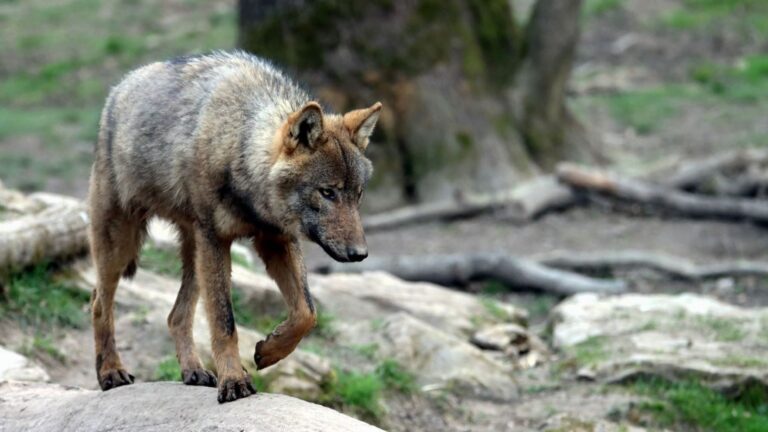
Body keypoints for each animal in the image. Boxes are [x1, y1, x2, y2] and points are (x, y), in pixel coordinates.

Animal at [88, 51, 381, 403]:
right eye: (327, 192)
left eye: (357, 195)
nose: (360, 254)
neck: (239, 144)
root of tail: (119, 88)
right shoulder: (217, 240)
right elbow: (224, 322)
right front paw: (234, 380)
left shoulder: (275, 239)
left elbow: (306, 313)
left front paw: (268, 351)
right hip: (125, 244)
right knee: (99, 304)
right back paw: (110, 372)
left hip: (194, 255)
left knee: (176, 316)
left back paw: (193, 371)